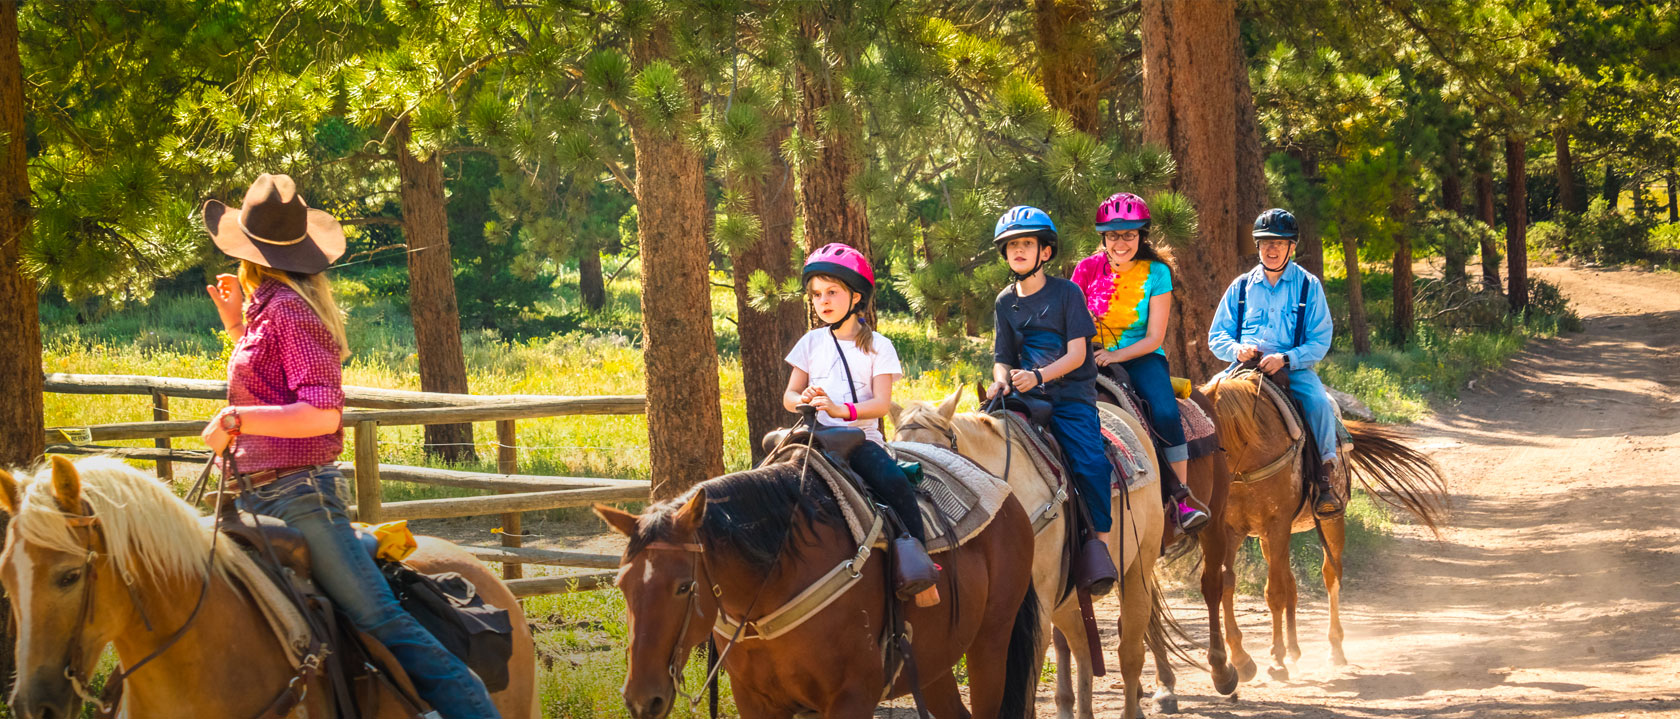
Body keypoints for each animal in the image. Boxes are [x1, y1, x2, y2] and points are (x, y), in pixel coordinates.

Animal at [591, 443, 1034, 719]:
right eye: (623, 585)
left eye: (683, 586)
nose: (641, 699)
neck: (771, 587)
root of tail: (1006, 492)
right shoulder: (756, 703)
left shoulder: (852, 698)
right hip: (934, 661)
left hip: (990, 643)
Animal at [893, 389, 1169, 719]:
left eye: (937, 457)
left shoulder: (1033, 611)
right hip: (1067, 598)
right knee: (1082, 647)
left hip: (1138, 571)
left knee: (1130, 654)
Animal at [1202, 372, 1451, 682]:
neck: (1249, 459)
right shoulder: (1231, 530)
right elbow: (1227, 585)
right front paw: (1242, 659)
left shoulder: (1277, 525)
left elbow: (1274, 593)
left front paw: (1276, 660)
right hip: (1268, 539)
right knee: (1291, 582)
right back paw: (1294, 650)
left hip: (1329, 522)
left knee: (1329, 576)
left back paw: (1333, 650)